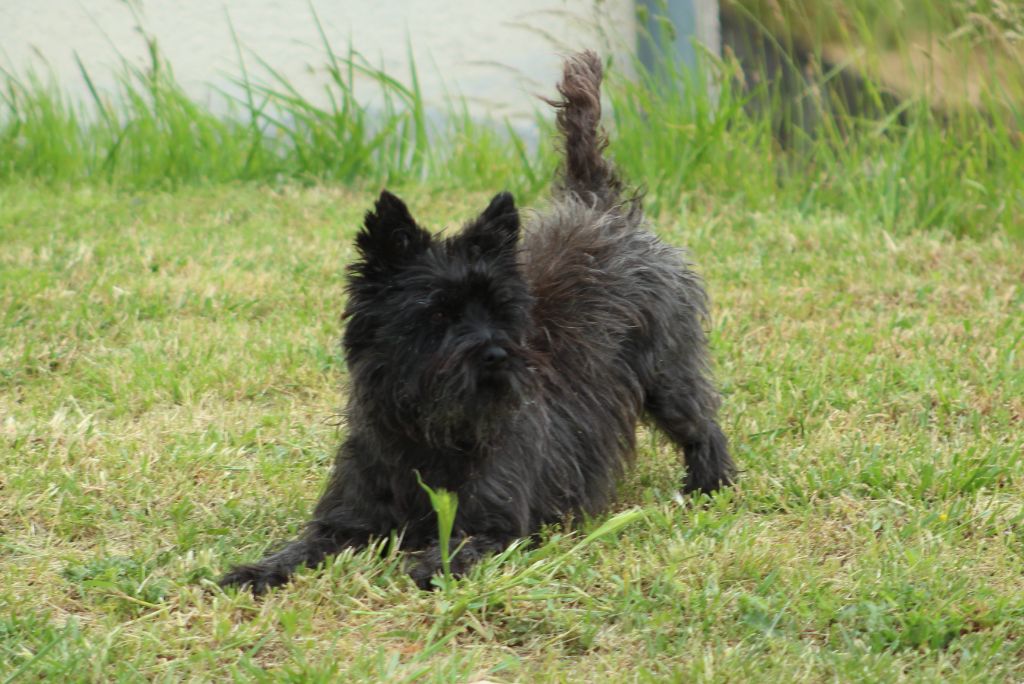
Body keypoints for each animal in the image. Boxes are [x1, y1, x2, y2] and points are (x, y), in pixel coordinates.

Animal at [222, 49, 737, 593]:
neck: (432, 433)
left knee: (701, 424)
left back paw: (711, 485)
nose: (497, 354)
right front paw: (256, 569)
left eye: (499, 311)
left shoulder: (497, 525)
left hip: (666, 371)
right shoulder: (347, 519)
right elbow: (303, 546)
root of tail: (598, 208)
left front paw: (431, 566)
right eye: (437, 312)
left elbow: (460, 547)